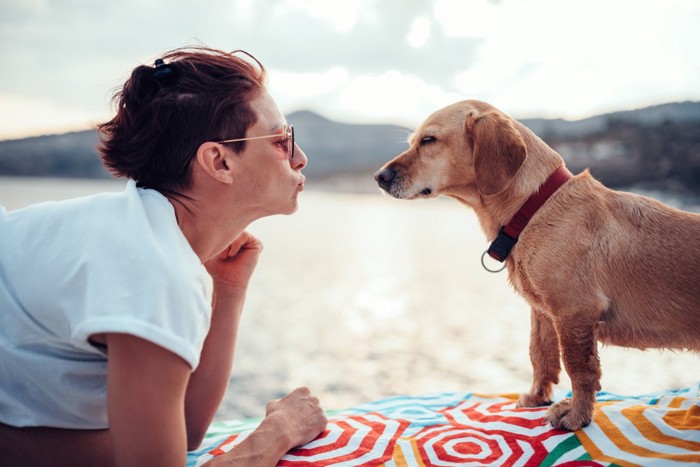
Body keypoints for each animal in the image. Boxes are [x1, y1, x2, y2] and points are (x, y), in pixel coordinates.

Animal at [374, 98, 700, 432]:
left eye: (429, 140)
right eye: (413, 141)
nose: (379, 177)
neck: (533, 207)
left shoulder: (575, 312)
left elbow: (579, 368)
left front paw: (577, 414)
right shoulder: (543, 314)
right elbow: (540, 355)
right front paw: (536, 397)